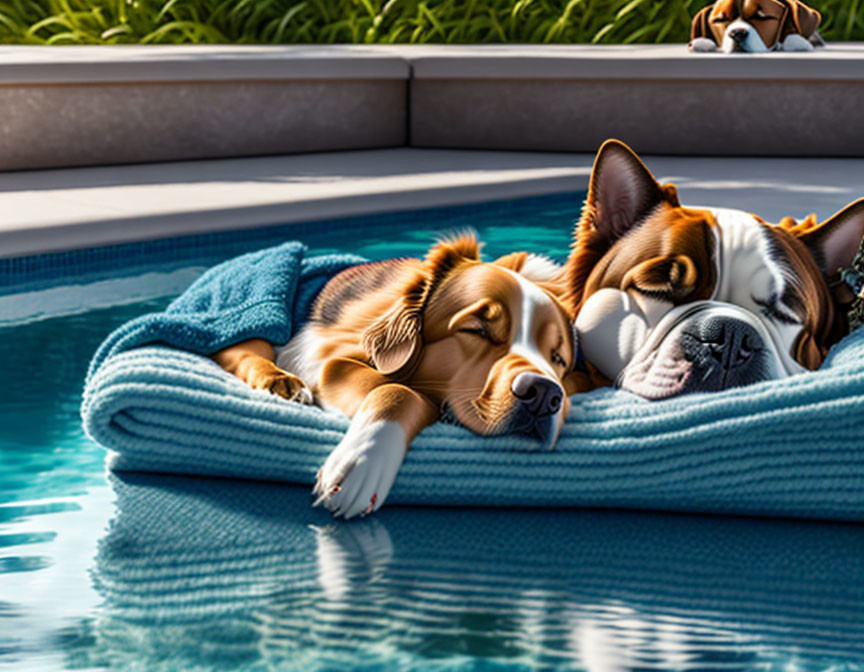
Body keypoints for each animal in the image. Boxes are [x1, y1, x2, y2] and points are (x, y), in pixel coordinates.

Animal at [211, 235, 572, 520]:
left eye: (558, 359)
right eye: (477, 330)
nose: (543, 394)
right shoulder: (326, 357)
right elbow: (400, 390)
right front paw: (362, 463)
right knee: (242, 350)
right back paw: (281, 382)